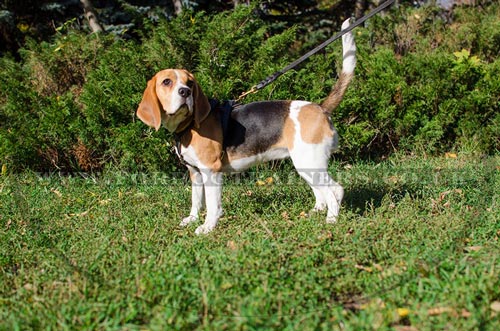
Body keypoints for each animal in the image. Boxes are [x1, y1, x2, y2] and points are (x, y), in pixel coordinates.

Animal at [137, 19, 356, 236]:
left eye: (189, 82)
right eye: (167, 82)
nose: (185, 92)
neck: (188, 125)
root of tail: (320, 107)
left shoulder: (211, 170)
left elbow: (212, 205)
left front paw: (207, 227)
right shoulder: (195, 172)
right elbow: (196, 200)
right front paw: (192, 219)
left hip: (309, 162)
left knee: (335, 190)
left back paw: (331, 220)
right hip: (306, 165)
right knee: (322, 192)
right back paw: (316, 212)